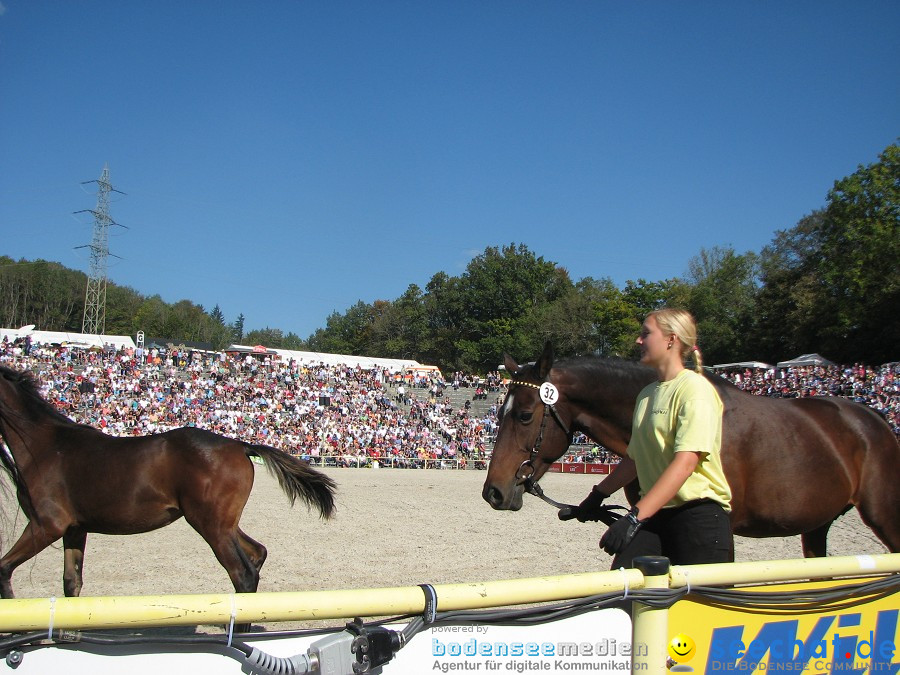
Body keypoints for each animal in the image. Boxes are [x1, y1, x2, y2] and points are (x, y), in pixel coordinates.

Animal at [0, 368, 336, 600]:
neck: (45, 446)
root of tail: (240, 445)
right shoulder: (74, 529)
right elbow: (72, 584)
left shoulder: (47, 525)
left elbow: (4, 569)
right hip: (222, 523)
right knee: (257, 555)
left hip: (210, 525)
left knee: (243, 574)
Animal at [482, 346, 900, 556]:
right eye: (499, 413)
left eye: (524, 415)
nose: (494, 492)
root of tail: (875, 418)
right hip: (816, 526)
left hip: (884, 518)